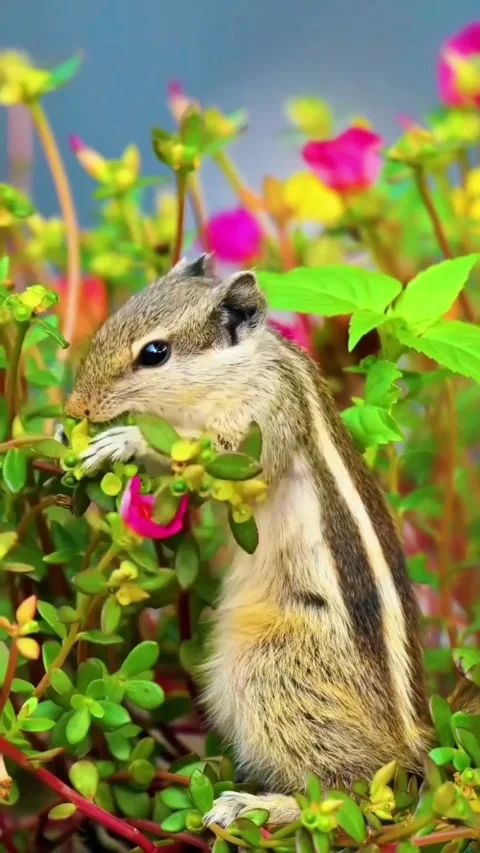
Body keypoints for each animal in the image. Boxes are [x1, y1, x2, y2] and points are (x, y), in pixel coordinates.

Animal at [64, 254, 476, 829]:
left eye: (154, 353)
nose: (76, 408)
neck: (241, 367)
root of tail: (412, 742)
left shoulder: (262, 421)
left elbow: (217, 455)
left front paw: (127, 439)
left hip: (274, 675)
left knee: (351, 796)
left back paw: (256, 805)